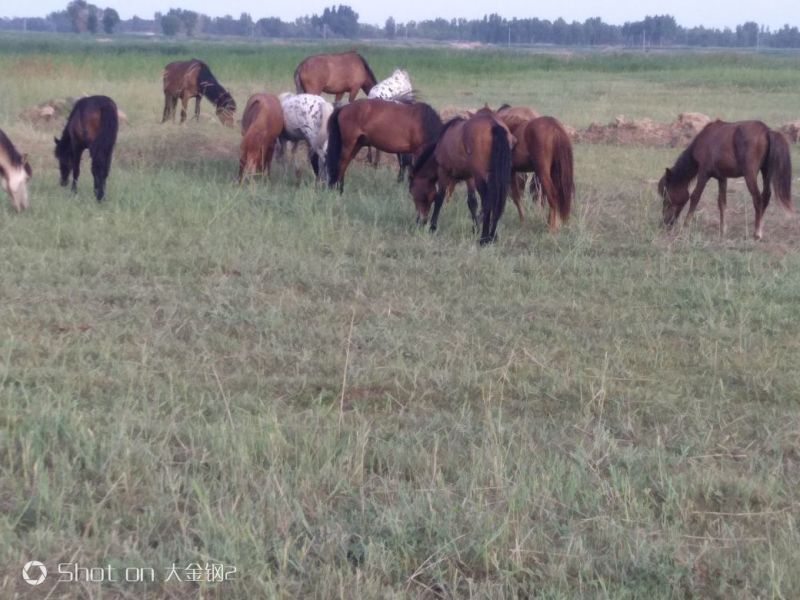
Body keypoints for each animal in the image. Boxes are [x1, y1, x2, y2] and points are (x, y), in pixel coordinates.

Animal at [411, 108, 515, 245]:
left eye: (413, 194)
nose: (420, 221)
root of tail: (495, 125)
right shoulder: (469, 177)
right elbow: (472, 202)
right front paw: (475, 228)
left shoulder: (444, 172)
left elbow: (439, 198)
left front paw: (433, 227)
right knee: (497, 202)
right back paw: (492, 235)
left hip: (480, 176)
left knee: (487, 201)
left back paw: (484, 238)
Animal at [658, 120, 793, 239]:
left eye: (666, 195)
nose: (665, 223)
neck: (704, 140)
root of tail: (767, 131)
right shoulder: (722, 178)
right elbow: (722, 202)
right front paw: (722, 230)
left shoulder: (703, 173)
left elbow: (695, 197)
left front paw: (686, 225)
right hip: (766, 172)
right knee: (766, 196)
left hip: (750, 175)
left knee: (757, 198)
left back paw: (757, 232)